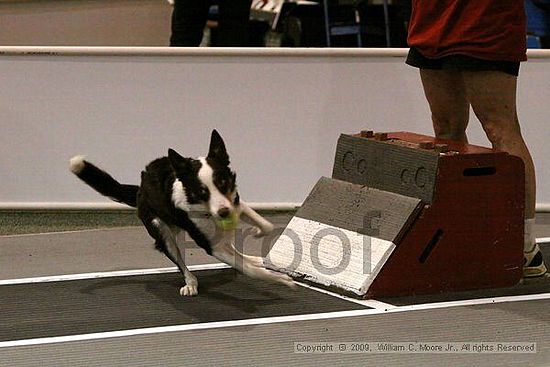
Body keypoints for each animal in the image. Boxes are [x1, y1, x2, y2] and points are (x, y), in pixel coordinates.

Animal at [70, 131, 296, 298]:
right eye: (202, 192)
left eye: (222, 183)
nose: (224, 213)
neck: (206, 211)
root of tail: (140, 189)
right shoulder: (210, 245)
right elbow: (246, 269)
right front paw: (279, 279)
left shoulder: (235, 202)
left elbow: (265, 225)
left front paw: (258, 233)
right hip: (161, 231)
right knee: (180, 260)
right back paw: (191, 283)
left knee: (231, 247)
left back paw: (252, 257)